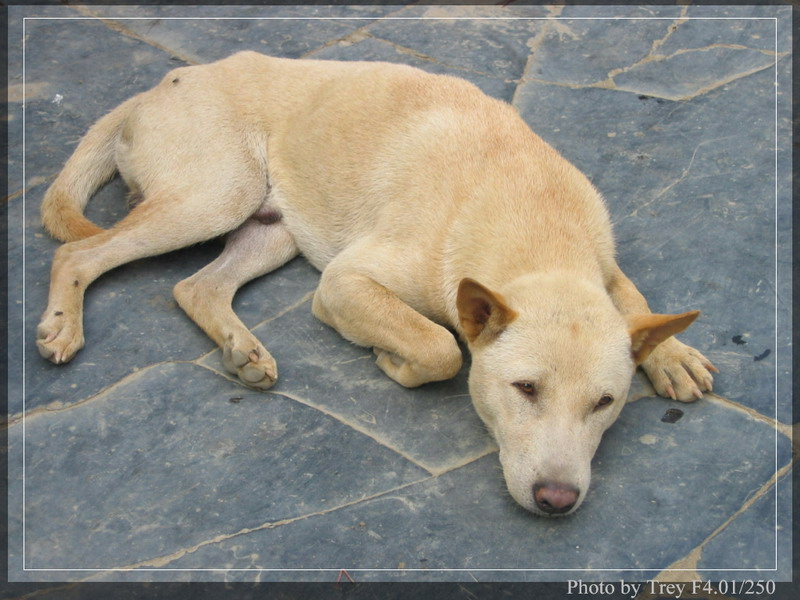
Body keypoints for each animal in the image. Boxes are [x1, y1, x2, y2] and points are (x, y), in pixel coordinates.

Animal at [36, 52, 717, 516]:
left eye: (605, 403)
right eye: (525, 389)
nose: (557, 499)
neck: (535, 223)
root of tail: (157, 86)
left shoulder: (601, 266)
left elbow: (633, 300)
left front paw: (671, 354)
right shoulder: (345, 282)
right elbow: (441, 348)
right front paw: (397, 362)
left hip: (271, 228)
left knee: (195, 288)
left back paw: (241, 350)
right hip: (216, 196)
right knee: (78, 251)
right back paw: (63, 325)